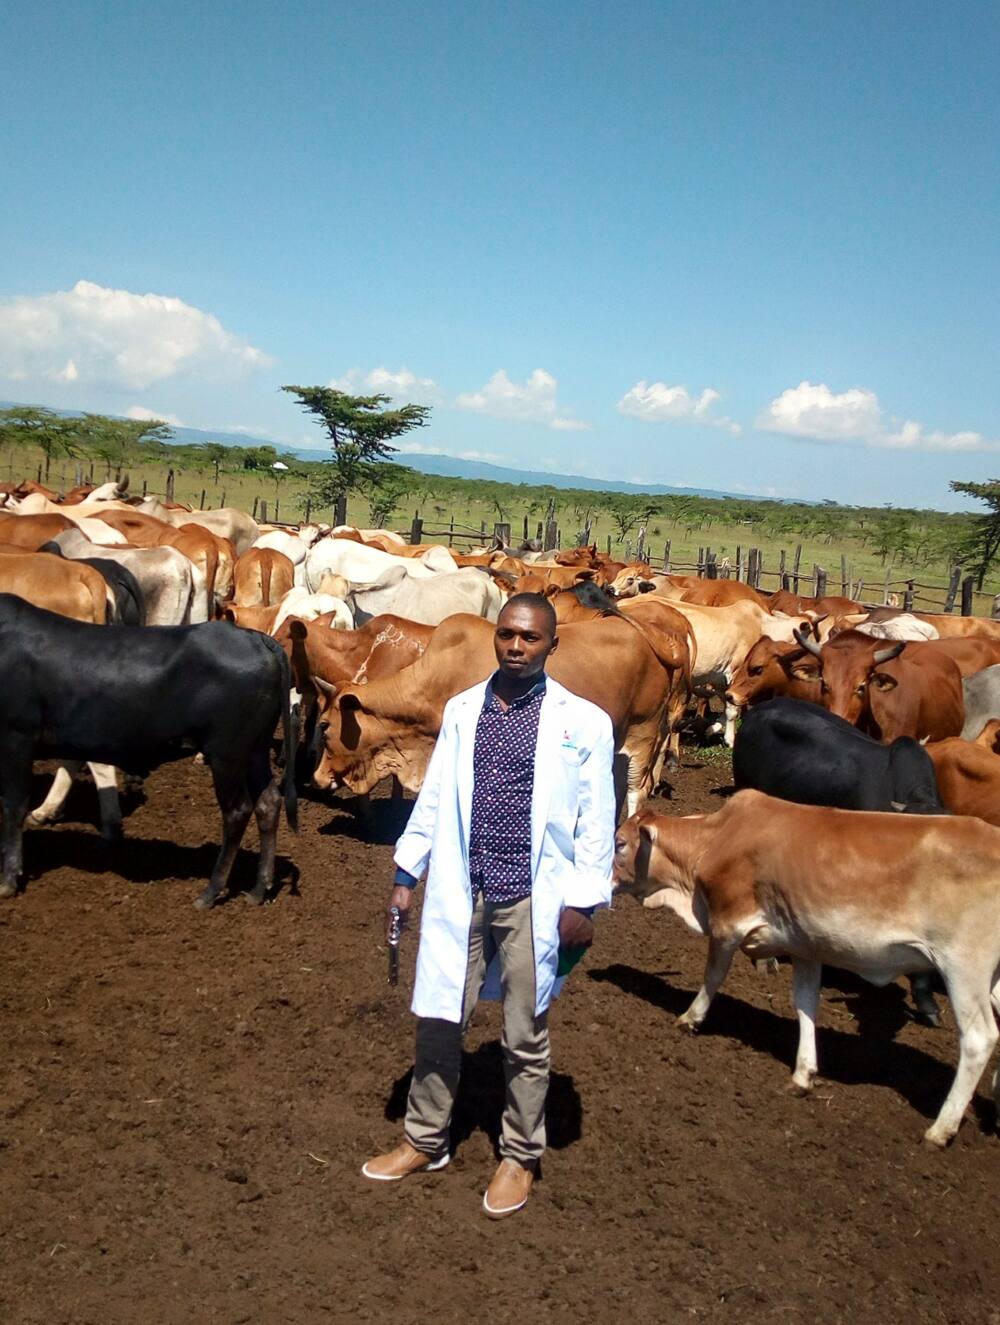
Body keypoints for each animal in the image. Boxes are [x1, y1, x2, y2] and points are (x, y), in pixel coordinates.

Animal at [0, 596, 296, 906]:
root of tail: (256, 638)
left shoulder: (16, 736)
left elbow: (13, 804)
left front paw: (8, 880)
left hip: (227, 753)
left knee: (237, 811)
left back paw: (211, 891)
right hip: (254, 750)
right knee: (267, 803)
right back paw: (259, 889)